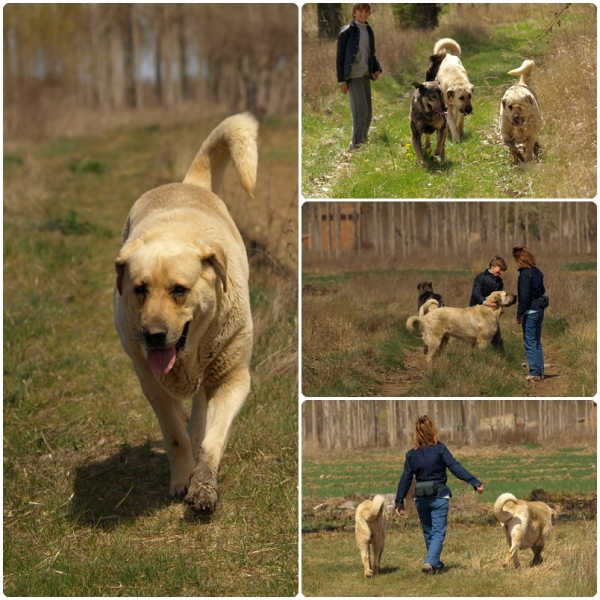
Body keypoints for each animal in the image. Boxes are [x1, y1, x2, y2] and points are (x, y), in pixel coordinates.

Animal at [115, 113, 258, 516]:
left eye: (179, 290)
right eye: (140, 289)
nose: (153, 335)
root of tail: (186, 184)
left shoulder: (232, 378)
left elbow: (212, 438)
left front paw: (203, 485)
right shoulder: (151, 383)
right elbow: (174, 436)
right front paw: (182, 480)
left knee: (200, 413)